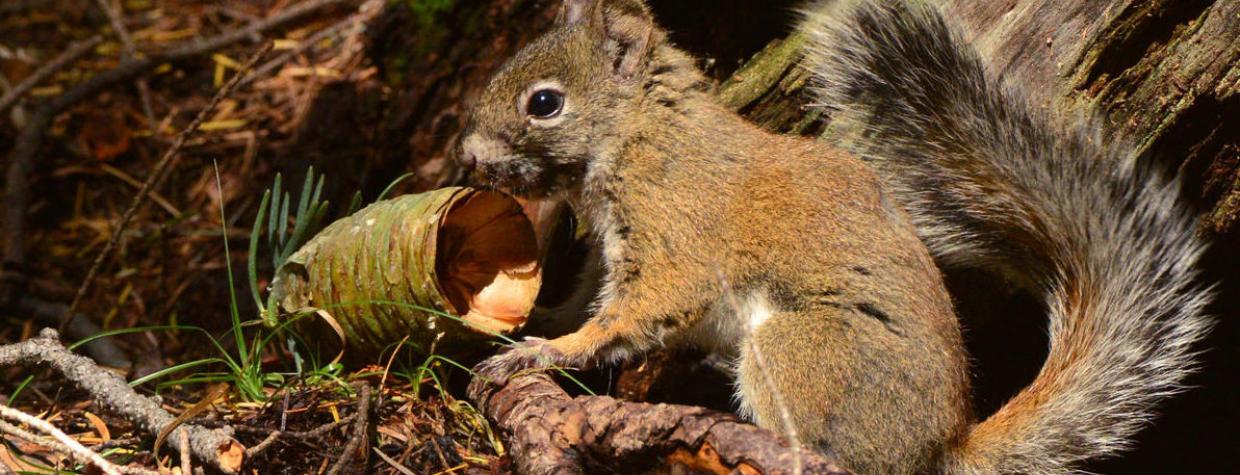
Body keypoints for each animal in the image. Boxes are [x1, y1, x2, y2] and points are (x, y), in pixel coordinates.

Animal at [453, 0, 1210, 471]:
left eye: (544, 102)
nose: (465, 156)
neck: (641, 132)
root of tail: (939, 447)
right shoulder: (609, 249)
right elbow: (582, 299)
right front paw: (533, 325)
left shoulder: (675, 233)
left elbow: (631, 315)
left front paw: (540, 353)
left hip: (799, 352)